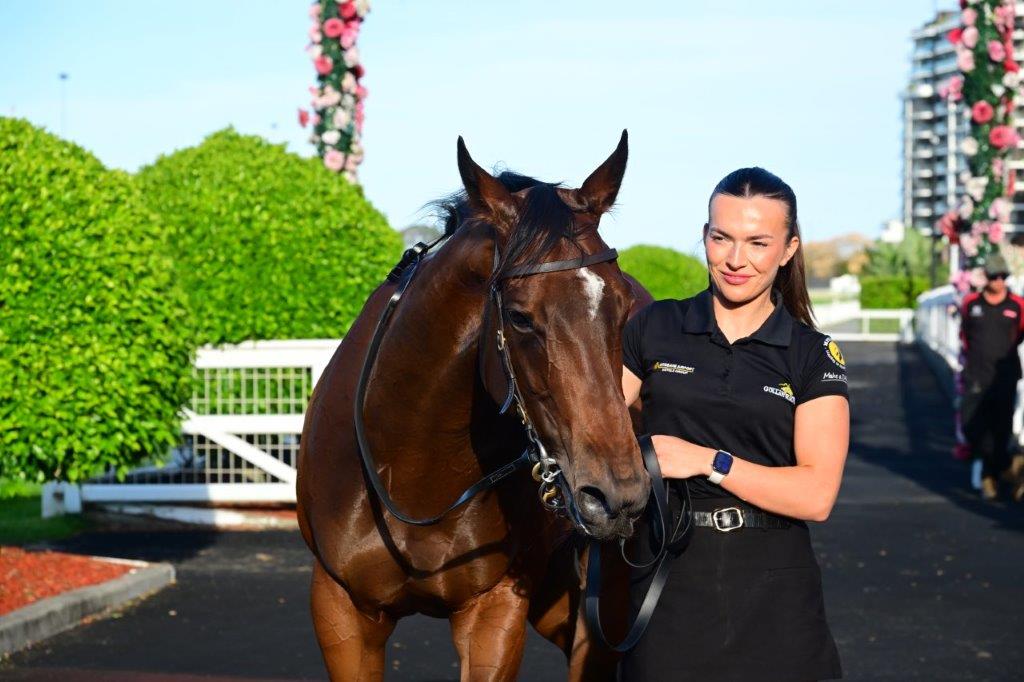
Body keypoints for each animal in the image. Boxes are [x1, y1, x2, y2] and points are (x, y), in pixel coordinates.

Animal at [297, 132, 654, 681]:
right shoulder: (340, 607)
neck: (410, 468)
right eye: (520, 317)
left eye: (621, 307)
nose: (618, 495)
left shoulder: (494, 607)